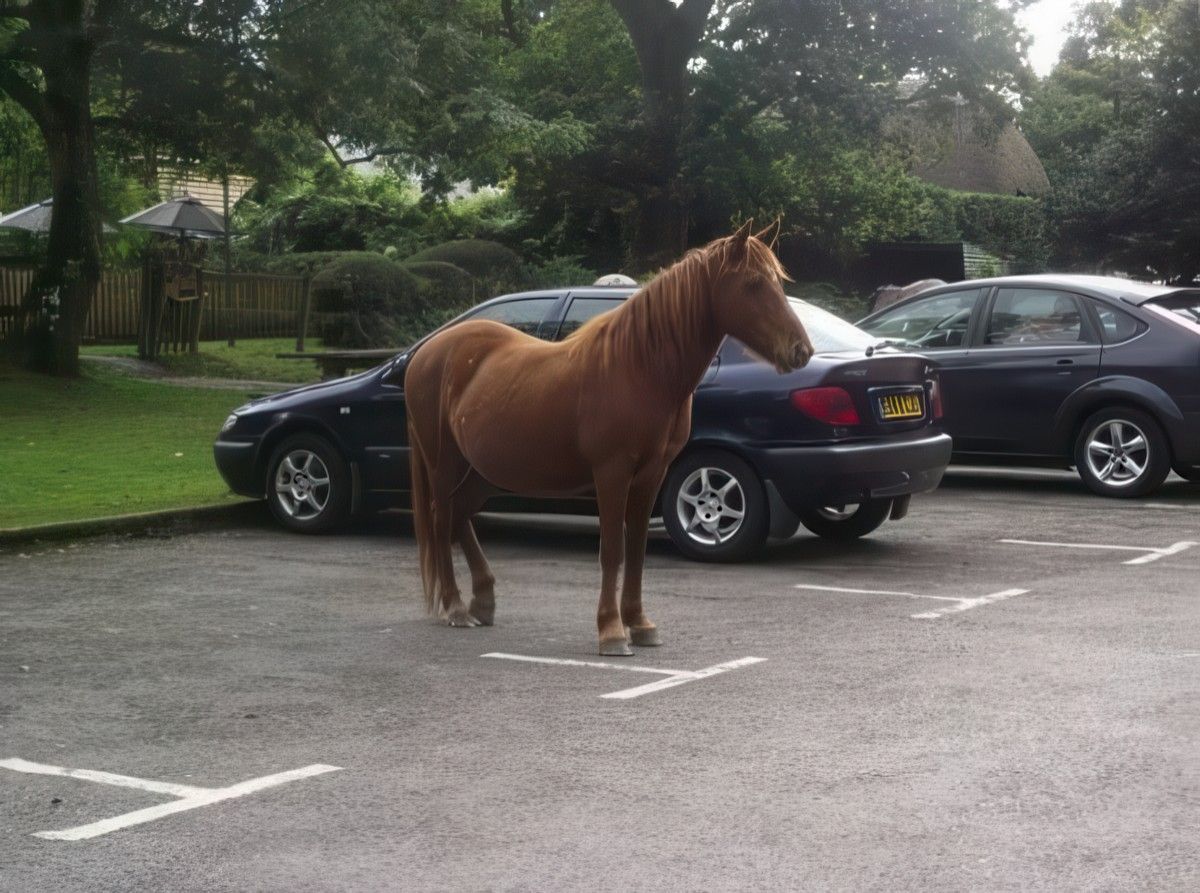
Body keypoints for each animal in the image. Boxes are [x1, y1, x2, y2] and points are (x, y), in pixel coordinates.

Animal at [405, 223, 816, 657]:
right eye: (753, 283)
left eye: (776, 282)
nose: (801, 350)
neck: (640, 367)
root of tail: (423, 353)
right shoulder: (612, 473)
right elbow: (613, 551)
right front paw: (612, 631)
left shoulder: (652, 475)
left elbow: (636, 549)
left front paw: (640, 623)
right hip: (444, 465)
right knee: (441, 519)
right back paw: (455, 607)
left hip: (482, 473)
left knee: (459, 517)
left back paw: (483, 601)